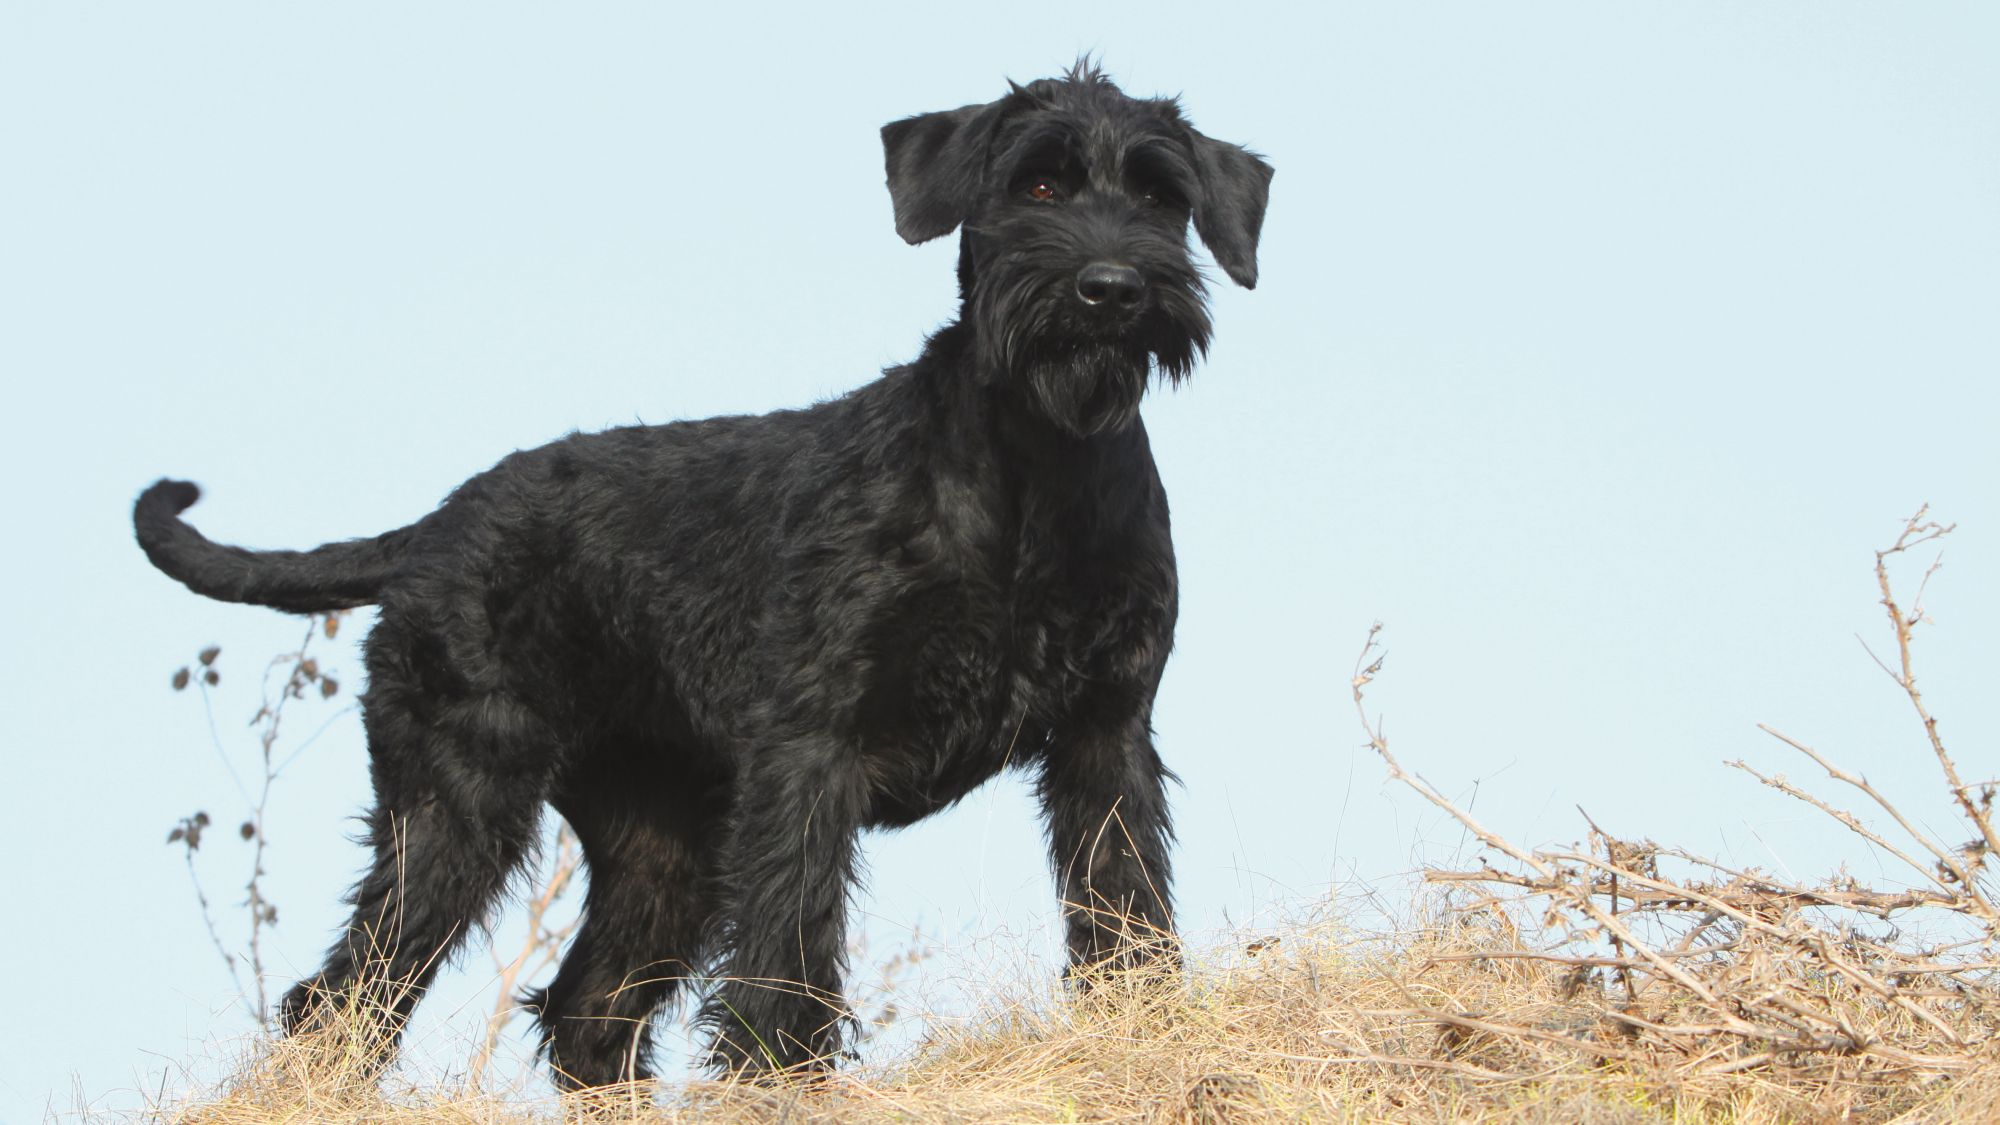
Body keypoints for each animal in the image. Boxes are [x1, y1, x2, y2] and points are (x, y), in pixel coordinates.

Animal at [133, 63, 1272, 1088]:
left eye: (1161, 197)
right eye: (1037, 185)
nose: (1111, 287)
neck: (1034, 472)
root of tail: (434, 528)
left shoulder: (1103, 734)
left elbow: (1123, 903)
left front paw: (1142, 1031)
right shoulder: (810, 752)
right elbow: (786, 948)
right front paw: (777, 1078)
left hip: (661, 846)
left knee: (588, 1011)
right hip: (458, 799)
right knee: (347, 993)